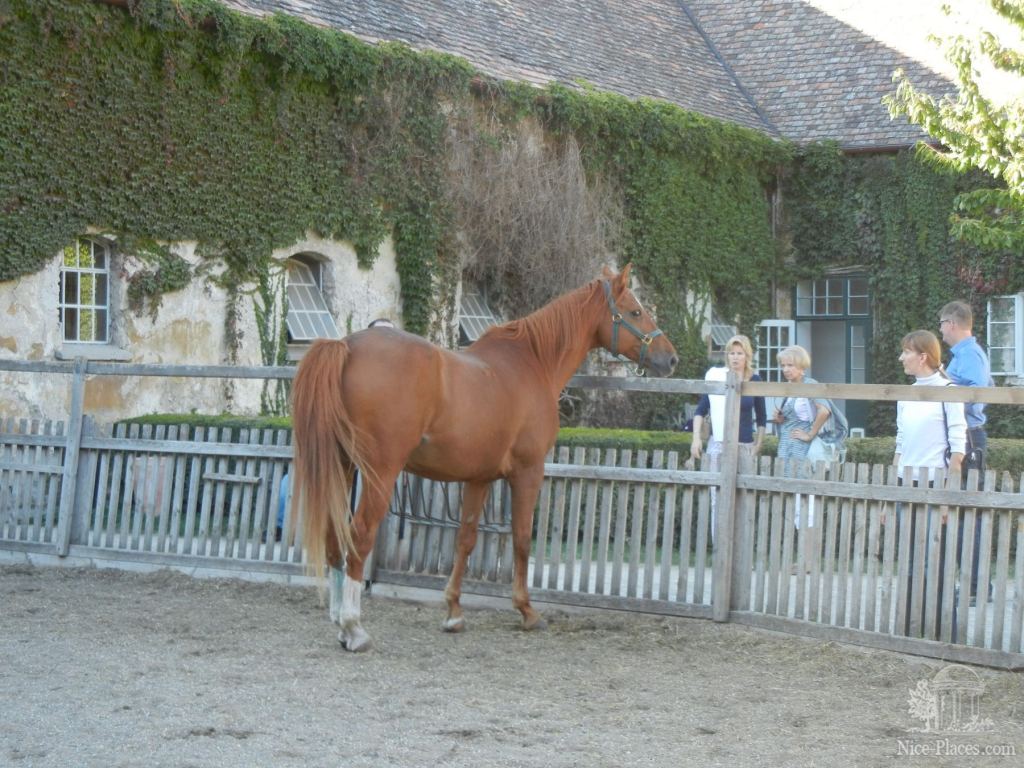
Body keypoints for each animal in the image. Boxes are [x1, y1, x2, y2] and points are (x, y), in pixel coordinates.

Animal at [286, 264, 679, 651]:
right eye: (635, 312)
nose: (671, 358)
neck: (532, 362)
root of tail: (344, 345)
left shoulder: (479, 478)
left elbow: (466, 540)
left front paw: (454, 613)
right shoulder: (528, 472)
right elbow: (521, 538)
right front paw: (527, 611)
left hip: (343, 467)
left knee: (334, 538)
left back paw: (340, 623)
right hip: (379, 473)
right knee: (359, 537)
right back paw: (354, 628)